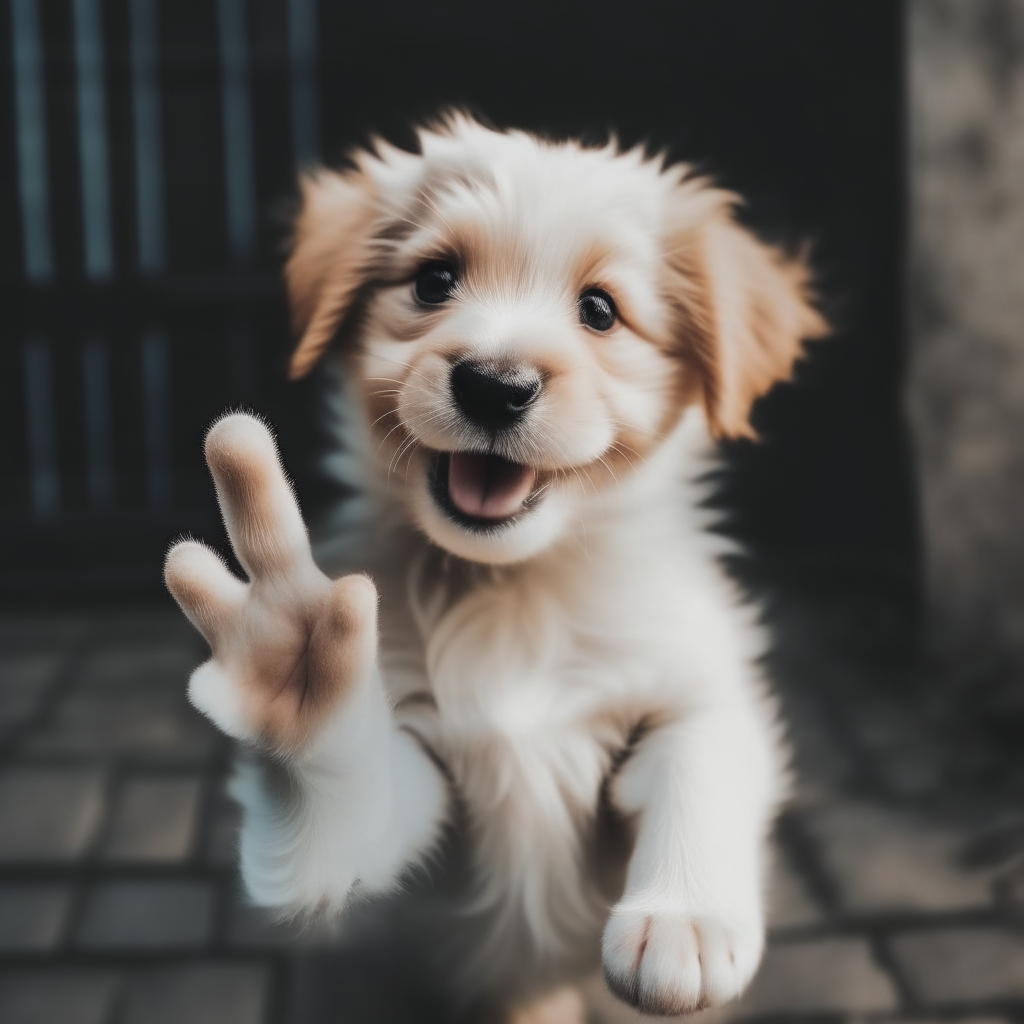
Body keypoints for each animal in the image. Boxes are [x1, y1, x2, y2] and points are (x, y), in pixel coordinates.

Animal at [163, 114, 827, 1024]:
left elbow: (704, 753)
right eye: (434, 281)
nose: (495, 385)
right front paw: (294, 674)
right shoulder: (417, 809)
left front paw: (682, 919)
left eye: (600, 310)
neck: (515, 591)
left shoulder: (699, 675)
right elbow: (348, 816)